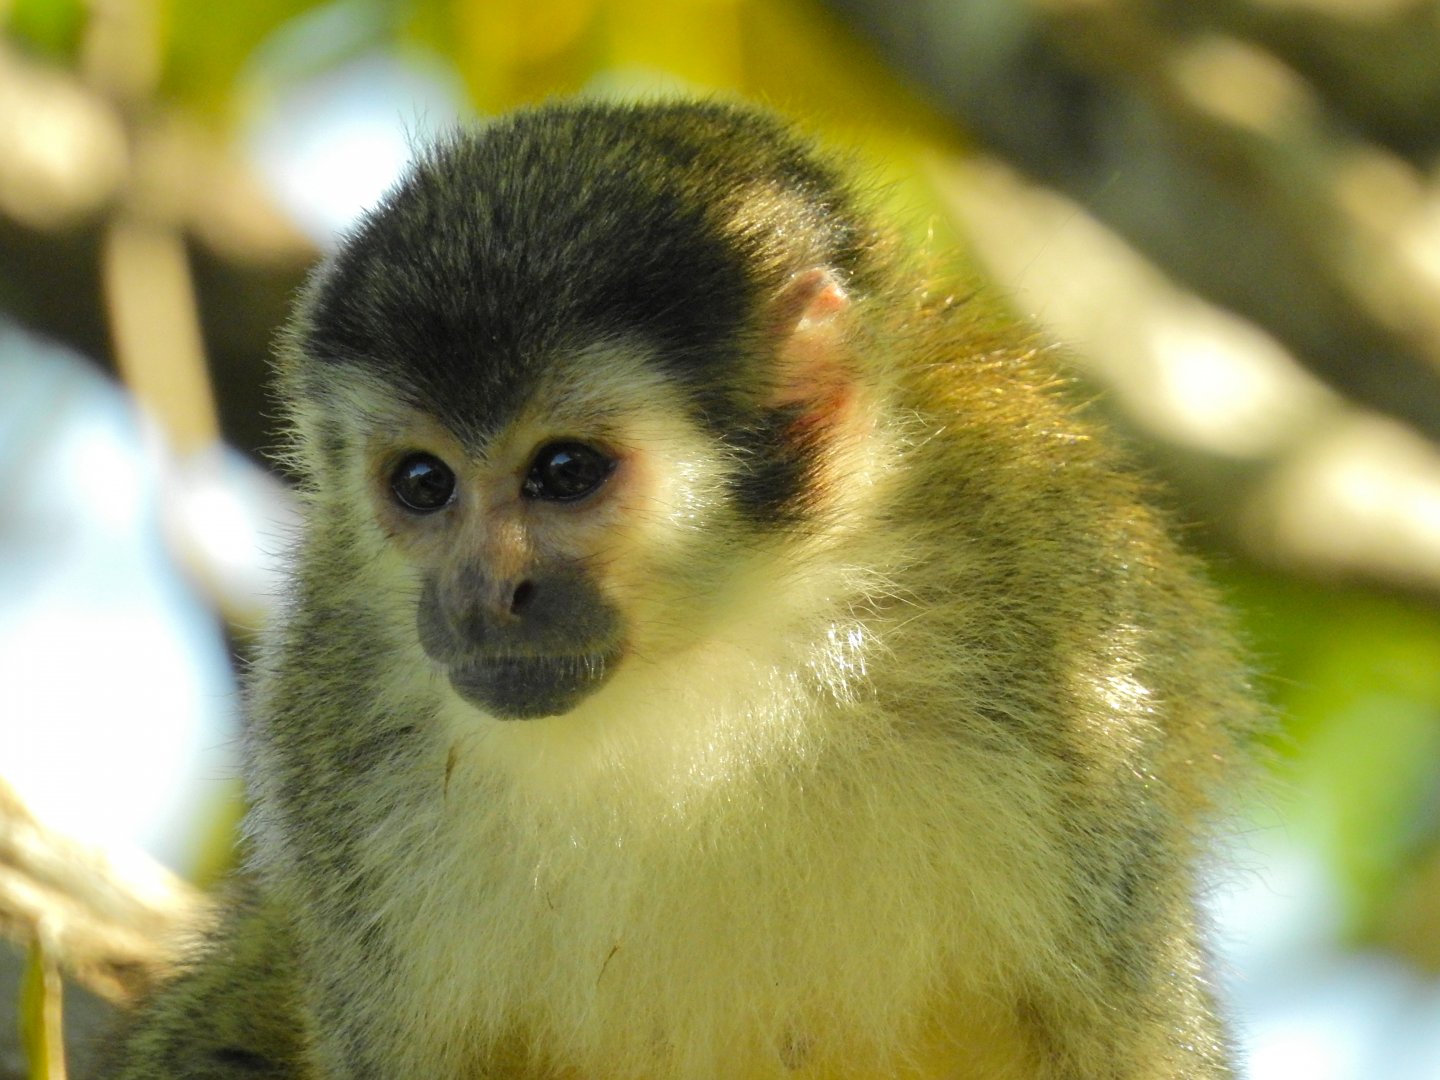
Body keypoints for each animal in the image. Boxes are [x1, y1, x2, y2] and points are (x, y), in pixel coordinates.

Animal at [106, 98, 1259, 1079]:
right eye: (423, 484)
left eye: (564, 471)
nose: (482, 594)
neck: (720, 651)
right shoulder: (335, 724)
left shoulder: (1065, 654)